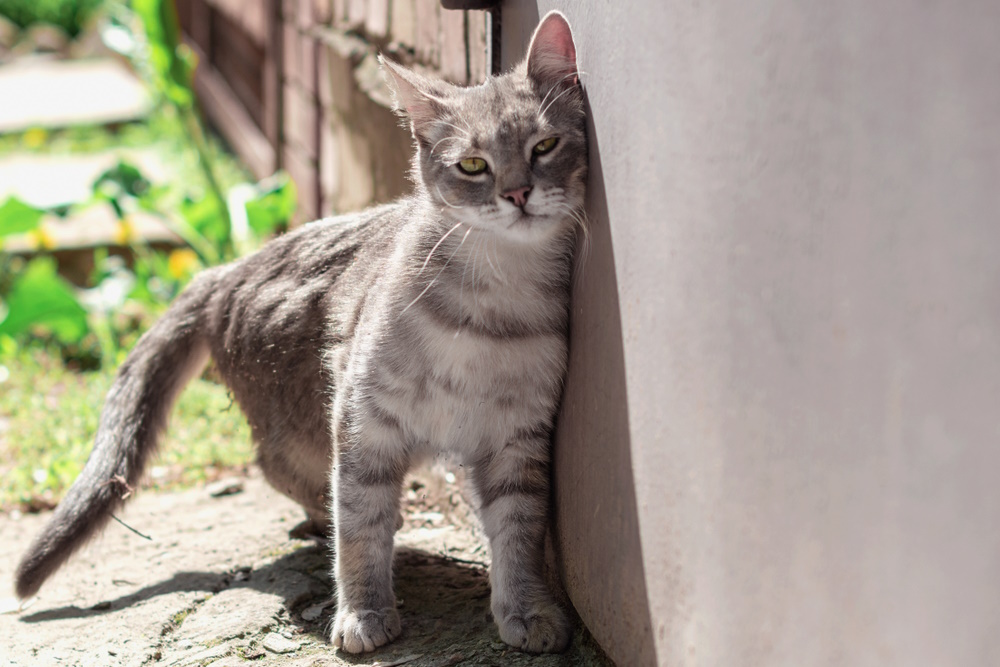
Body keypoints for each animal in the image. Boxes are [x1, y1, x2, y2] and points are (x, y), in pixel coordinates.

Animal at [11, 10, 584, 656]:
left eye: (544, 146)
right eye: (472, 165)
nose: (517, 193)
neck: (487, 306)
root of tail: (226, 269)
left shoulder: (518, 439)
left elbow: (517, 534)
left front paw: (525, 610)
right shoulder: (363, 424)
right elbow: (359, 526)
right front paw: (363, 612)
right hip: (301, 424)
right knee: (276, 466)